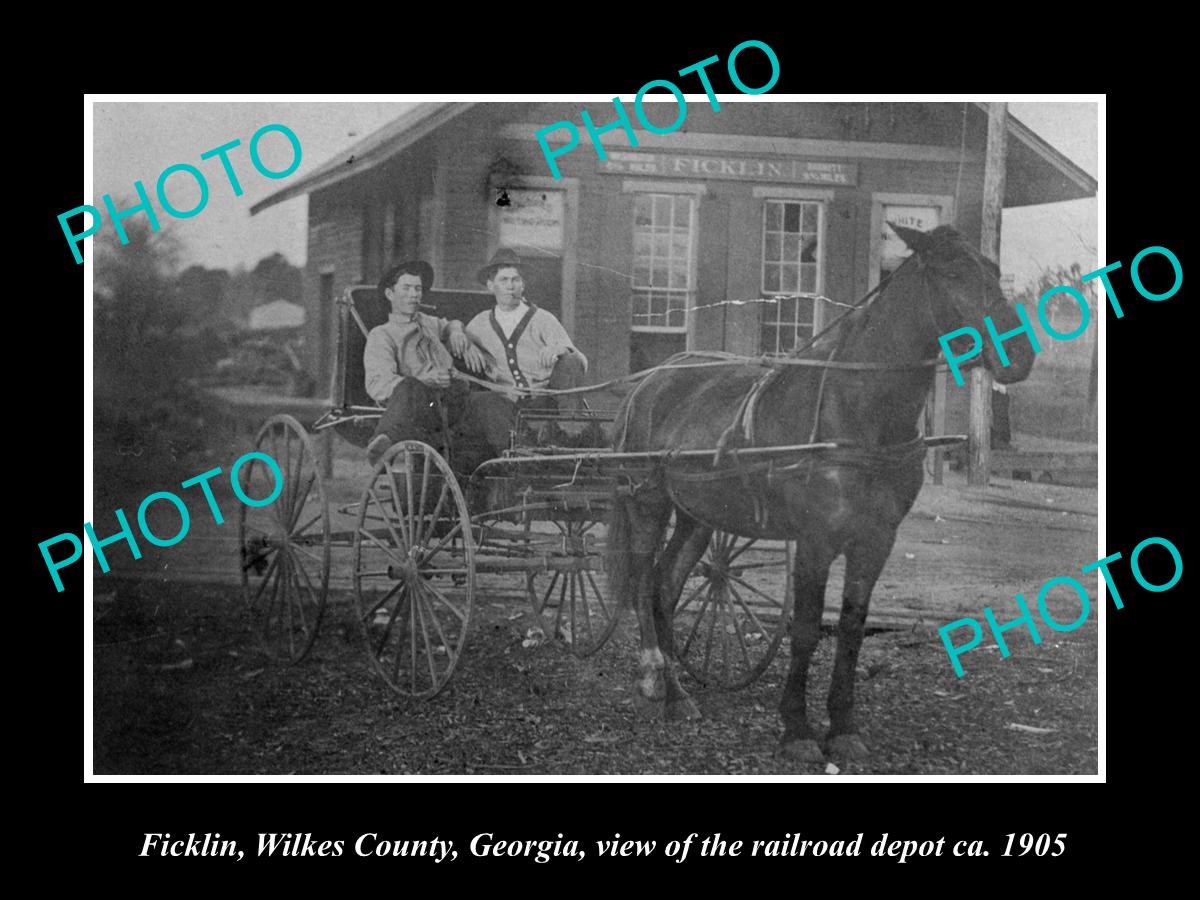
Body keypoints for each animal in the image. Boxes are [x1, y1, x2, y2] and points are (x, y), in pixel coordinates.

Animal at [604, 224, 1036, 763]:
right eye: (952, 272)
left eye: (994, 270)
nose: (1020, 354)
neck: (860, 412)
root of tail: (654, 379)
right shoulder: (815, 540)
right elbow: (807, 630)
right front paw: (797, 727)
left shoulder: (876, 540)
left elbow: (851, 628)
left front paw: (844, 725)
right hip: (648, 503)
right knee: (644, 583)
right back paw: (657, 681)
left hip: (697, 515)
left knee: (666, 584)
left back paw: (677, 691)